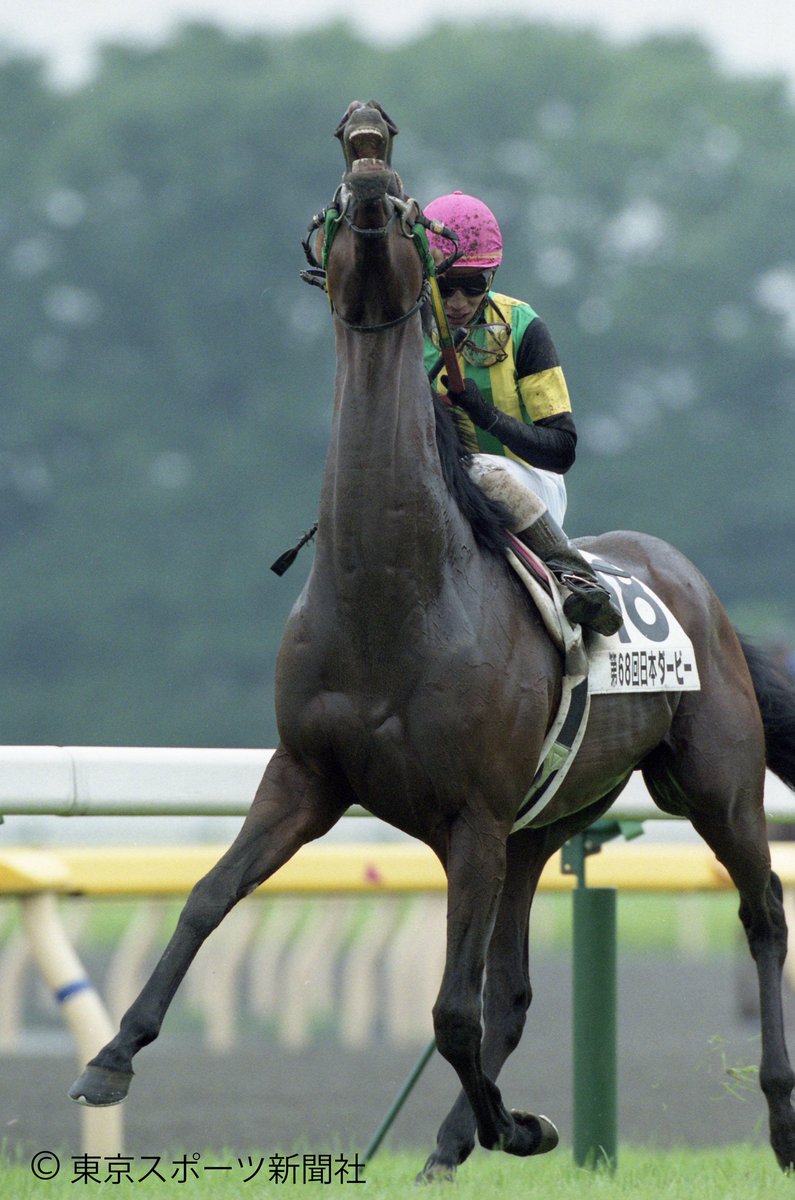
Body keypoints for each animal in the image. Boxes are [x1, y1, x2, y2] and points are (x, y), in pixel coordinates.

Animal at [70, 100, 795, 1179]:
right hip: (545, 826)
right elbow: (205, 897)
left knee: (761, 915)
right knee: (518, 990)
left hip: (711, 784)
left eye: (407, 202)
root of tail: (698, 589)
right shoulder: (307, 775)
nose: (366, 134)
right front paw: (110, 1058)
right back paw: (456, 1141)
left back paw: (775, 1120)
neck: (391, 600)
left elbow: (451, 1010)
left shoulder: (472, 817)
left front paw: (517, 1125)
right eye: (336, 192)